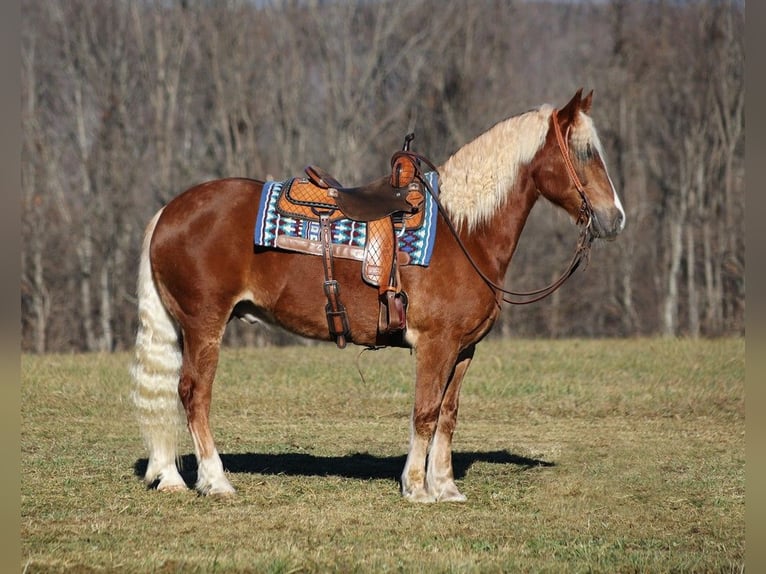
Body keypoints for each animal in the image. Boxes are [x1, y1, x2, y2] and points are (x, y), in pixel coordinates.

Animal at [129, 88, 628, 502]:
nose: (615, 218)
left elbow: (448, 415)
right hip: (204, 324)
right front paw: (417, 488)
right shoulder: (435, 345)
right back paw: (215, 481)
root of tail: (170, 211)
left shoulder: (463, 350)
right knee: (194, 394)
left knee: (172, 392)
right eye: (585, 152)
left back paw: (169, 477)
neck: (463, 230)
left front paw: (445, 487)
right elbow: (425, 412)